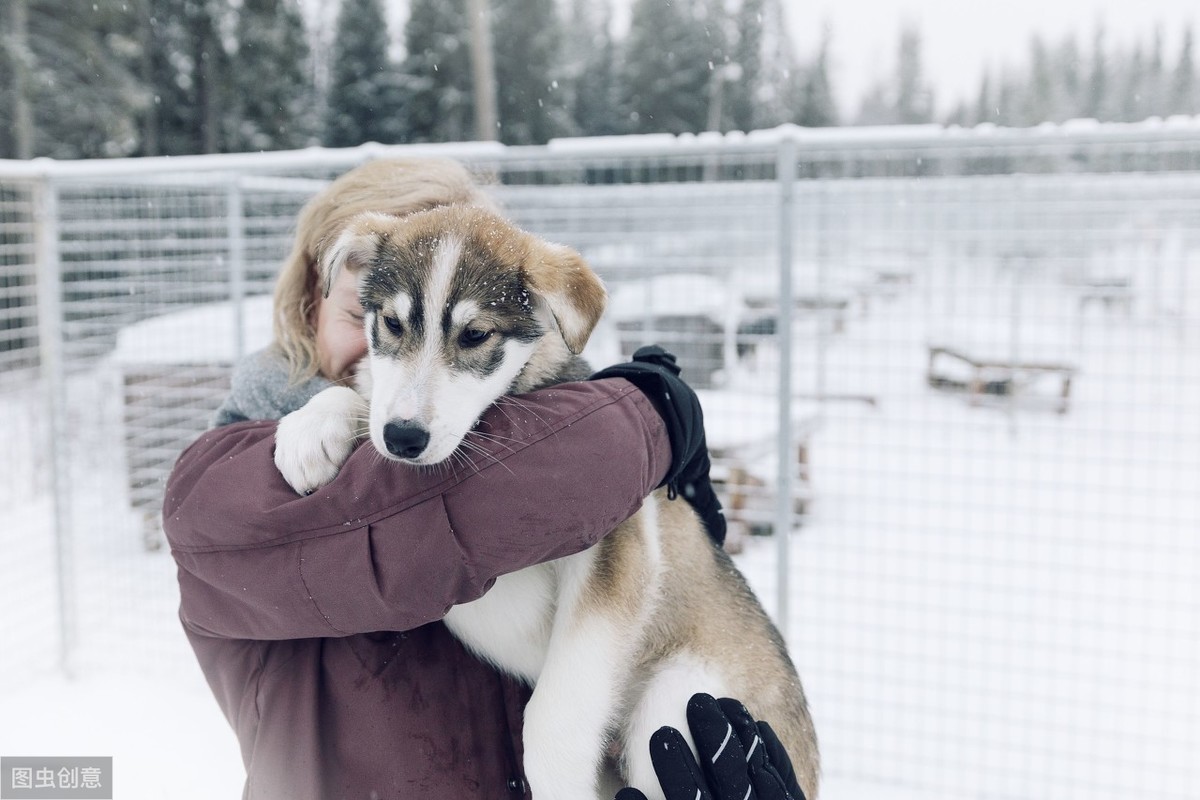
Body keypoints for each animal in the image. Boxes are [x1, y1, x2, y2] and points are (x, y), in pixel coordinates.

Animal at [272, 203, 816, 796]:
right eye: (391, 324)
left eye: (475, 335)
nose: (403, 438)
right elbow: (363, 391)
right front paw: (311, 426)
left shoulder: (617, 548)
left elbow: (554, 717)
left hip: (678, 699)